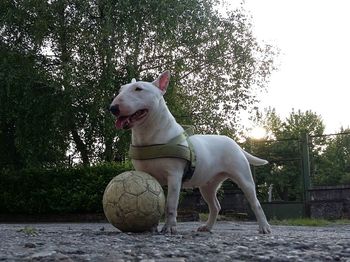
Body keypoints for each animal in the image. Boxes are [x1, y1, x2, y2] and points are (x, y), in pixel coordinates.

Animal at [109, 71, 270, 233]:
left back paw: (264, 227)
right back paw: (207, 227)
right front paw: (151, 227)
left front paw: (169, 228)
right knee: (215, 206)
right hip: (207, 185)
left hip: (243, 177)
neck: (150, 136)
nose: (113, 108)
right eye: (120, 89)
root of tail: (234, 143)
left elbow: (170, 204)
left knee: (255, 203)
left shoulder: (174, 175)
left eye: (139, 89)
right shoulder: (146, 174)